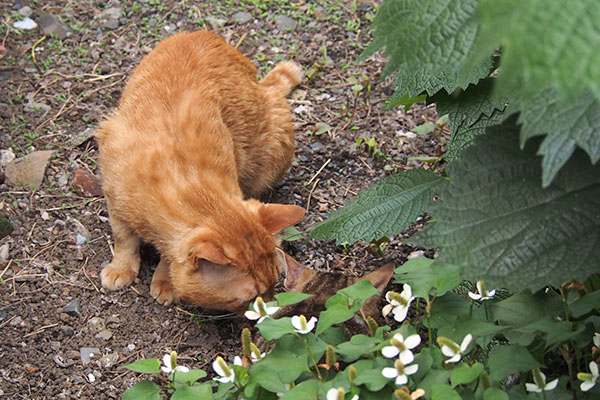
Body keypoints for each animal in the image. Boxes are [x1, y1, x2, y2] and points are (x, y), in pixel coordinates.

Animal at [98, 30, 308, 312]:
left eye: (275, 283)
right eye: (250, 298)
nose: (270, 312)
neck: (179, 173)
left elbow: (166, 255)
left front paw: (166, 280)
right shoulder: (113, 195)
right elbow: (123, 238)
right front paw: (121, 267)